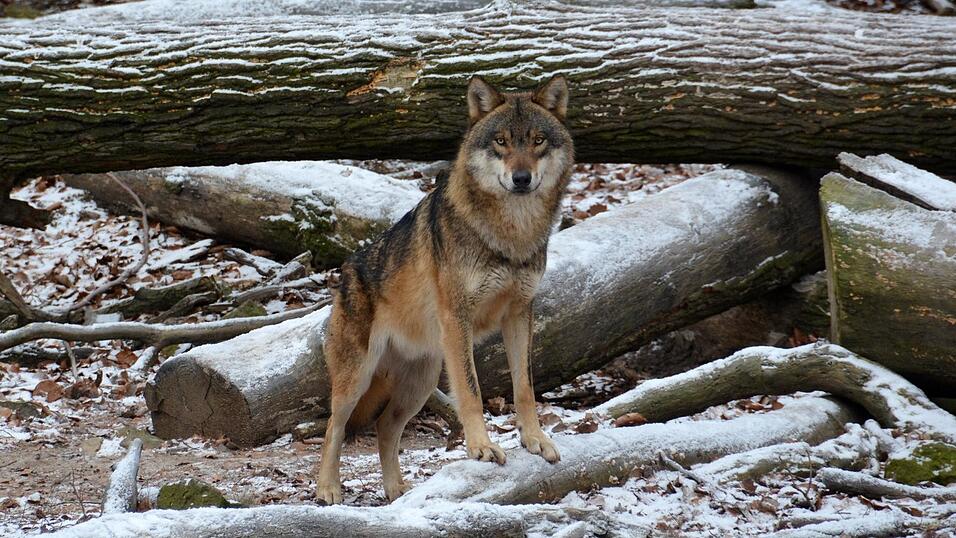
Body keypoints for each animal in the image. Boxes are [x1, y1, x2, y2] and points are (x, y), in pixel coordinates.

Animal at [315, 75, 574, 505]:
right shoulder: (458, 318)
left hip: (421, 383)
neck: (512, 235)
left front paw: (535, 440)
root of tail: (345, 272)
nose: (521, 178)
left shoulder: (520, 313)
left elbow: (525, 387)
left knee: (385, 429)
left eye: (538, 141)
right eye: (501, 141)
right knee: (334, 428)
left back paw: (396, 491)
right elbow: (471, 391)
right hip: (358, 378)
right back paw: (328, 489)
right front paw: (482, 448)